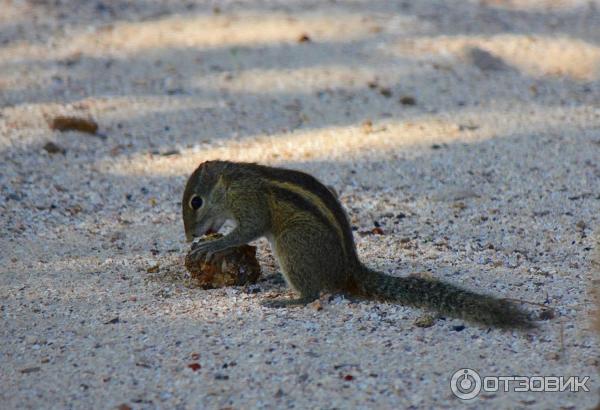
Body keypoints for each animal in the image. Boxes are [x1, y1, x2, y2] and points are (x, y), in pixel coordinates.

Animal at [180, 160, 532, 330]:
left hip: (292, 244)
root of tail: (350, 268)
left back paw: (286, 301)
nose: (188, 236)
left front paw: (212, 246)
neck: (232, 182)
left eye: (196, 201)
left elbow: (248, 230)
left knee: (313, 294)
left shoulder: (251, 204)